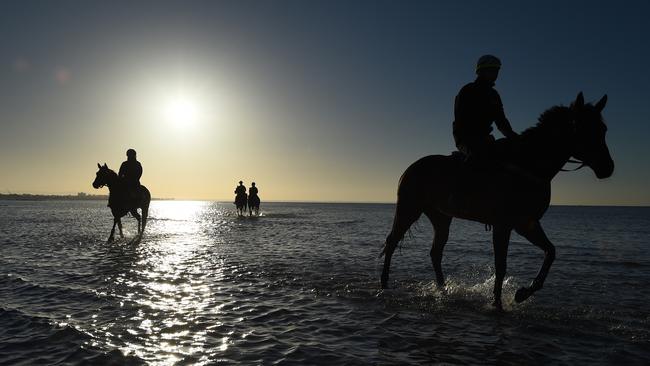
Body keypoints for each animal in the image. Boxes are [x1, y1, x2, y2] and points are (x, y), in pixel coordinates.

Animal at [378, 93, 612, 310]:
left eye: (603, 129)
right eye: (584, 128)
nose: (608, 167)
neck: (528, 164)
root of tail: (411, 168)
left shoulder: (526, 224)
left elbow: (550, 252)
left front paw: (523, 293)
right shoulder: (504, 226)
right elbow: (501, 265)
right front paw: (497, 304)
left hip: (441, 217)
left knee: (435, 252)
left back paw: (443, 290)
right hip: (409, 209)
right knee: (392, 242)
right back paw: (384, 285)